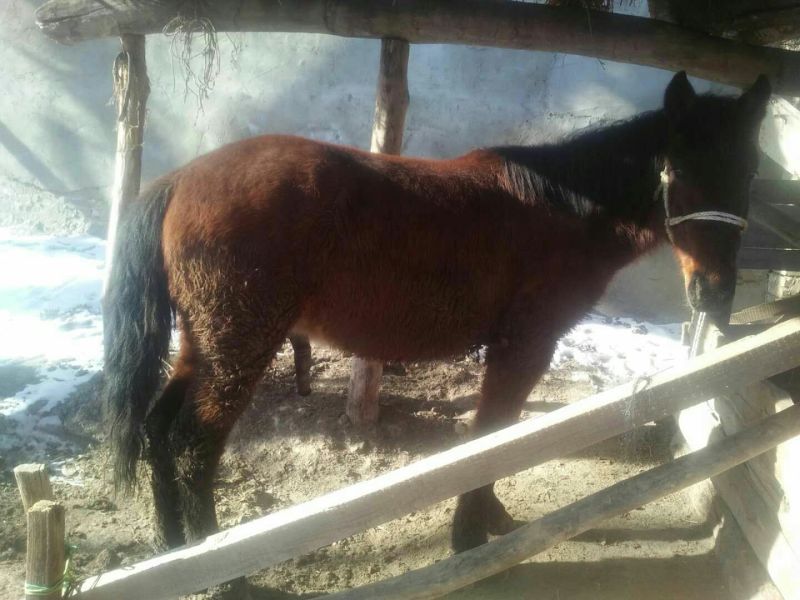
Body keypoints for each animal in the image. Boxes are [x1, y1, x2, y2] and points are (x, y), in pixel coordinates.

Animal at [103, 72, 771, 559]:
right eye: (678, 168)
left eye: (750, 173)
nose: (714, 293)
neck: (563, 210)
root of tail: (181, 179)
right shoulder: (524, 346)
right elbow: (491, 436)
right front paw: (469, 535)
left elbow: (498, 435)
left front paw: (490, 518)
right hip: (239, 349)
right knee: (193, 447)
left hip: (205, 344)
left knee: (158, 431)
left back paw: (171, 549)